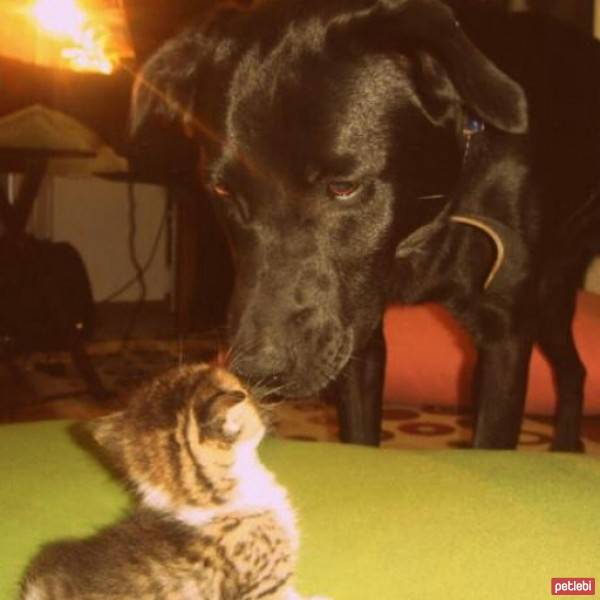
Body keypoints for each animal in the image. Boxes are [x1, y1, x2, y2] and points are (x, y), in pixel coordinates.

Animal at [130, 0, 600, 450]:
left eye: (344, 186)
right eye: (222, 191)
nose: (258, 372)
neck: (421, 229)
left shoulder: (505, 334)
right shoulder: (357, 334)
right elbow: (359, 433)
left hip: (549, 295)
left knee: (573, 369)